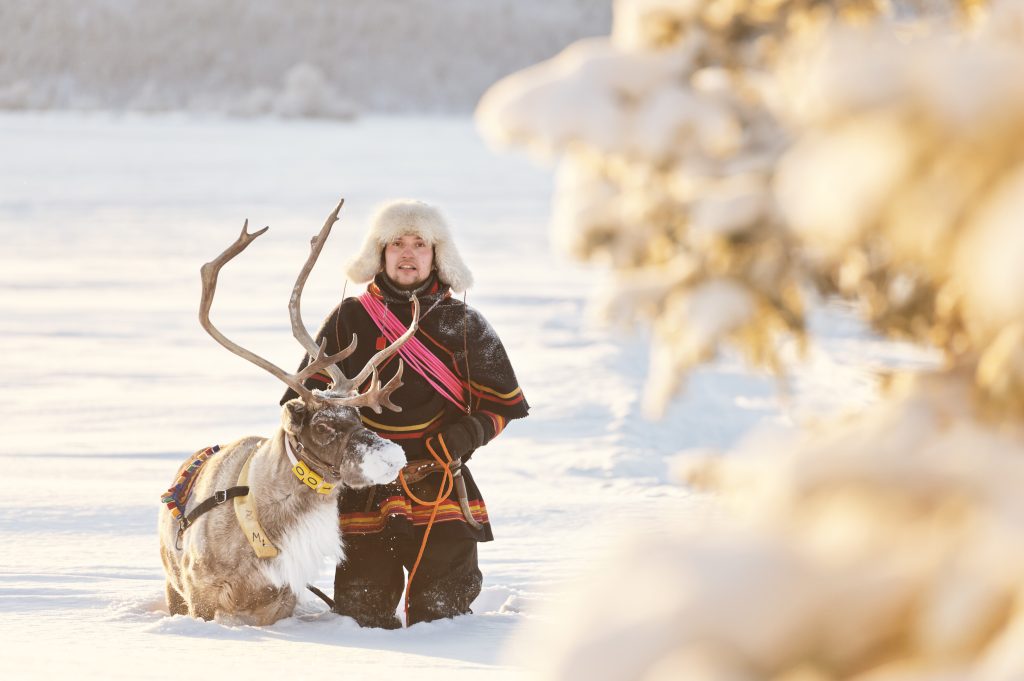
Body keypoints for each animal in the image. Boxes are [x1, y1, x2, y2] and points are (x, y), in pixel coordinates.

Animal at [159, 199, 416, 625]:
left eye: (360, 419)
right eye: (324, 427)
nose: (394, 456)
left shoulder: (282, 598)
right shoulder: (200, 594)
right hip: (170, 584)